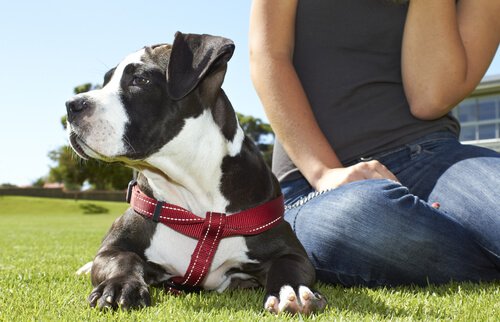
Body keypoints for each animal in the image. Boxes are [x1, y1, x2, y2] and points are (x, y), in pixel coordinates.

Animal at [64, 31, 326, 314]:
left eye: (140, 79)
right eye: (106, 81)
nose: (71, 104)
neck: (193, 197)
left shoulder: (290, 249)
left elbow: (287, 263)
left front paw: (291, 290)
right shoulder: (113, 248)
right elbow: (121, 260)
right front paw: (120, 286)